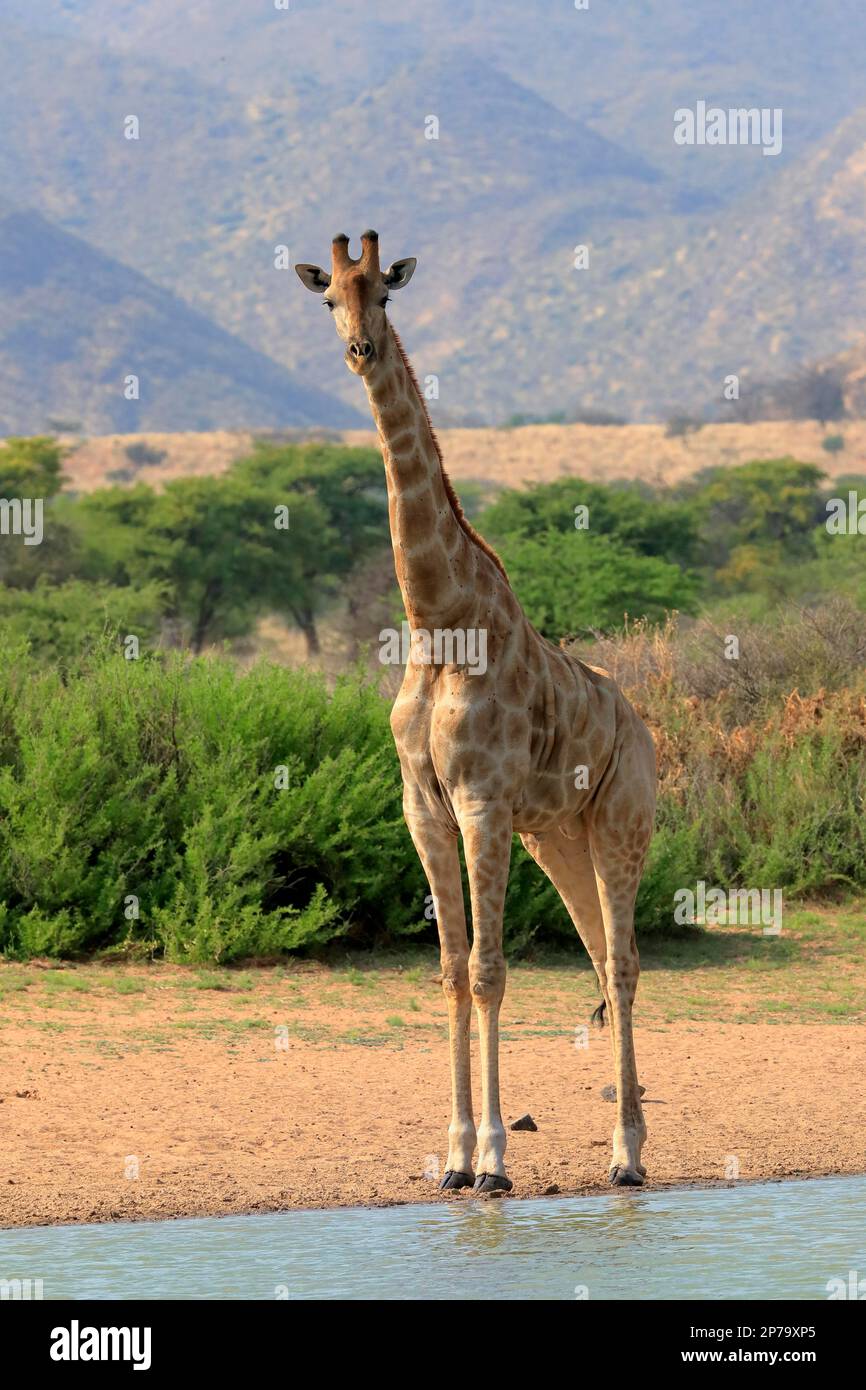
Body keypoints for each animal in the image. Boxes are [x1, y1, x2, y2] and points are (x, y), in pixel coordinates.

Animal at [297, 233, 656, 1189]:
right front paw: (453, 1157)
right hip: (558, 835)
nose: (360, 350)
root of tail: (643, 724)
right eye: (328, 298)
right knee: (600, 956)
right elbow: (453, 971)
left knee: (626, 964)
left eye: (384, 292)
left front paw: (494, 1158)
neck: (435, 617)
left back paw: (627, 1157)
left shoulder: (482, 801)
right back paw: (626, 1144)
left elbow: (492, 971)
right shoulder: (424, 806)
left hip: (621, 822)